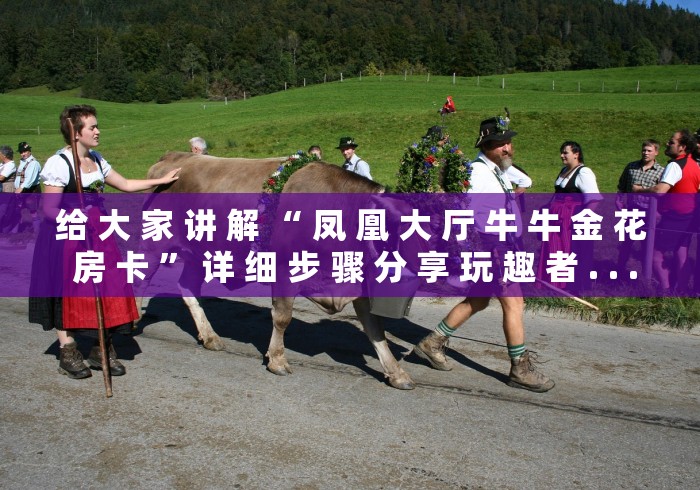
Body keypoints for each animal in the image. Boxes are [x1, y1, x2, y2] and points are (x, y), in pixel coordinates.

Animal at [142, 152, 415, 390]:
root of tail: (174, 156)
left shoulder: (357, 283)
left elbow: (375, 329)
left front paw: (397, 373)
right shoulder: (285, 269)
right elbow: (283, 317)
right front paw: (277, 360)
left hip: (197, 254)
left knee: (187, 288)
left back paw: (210, 337)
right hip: (154, 244)